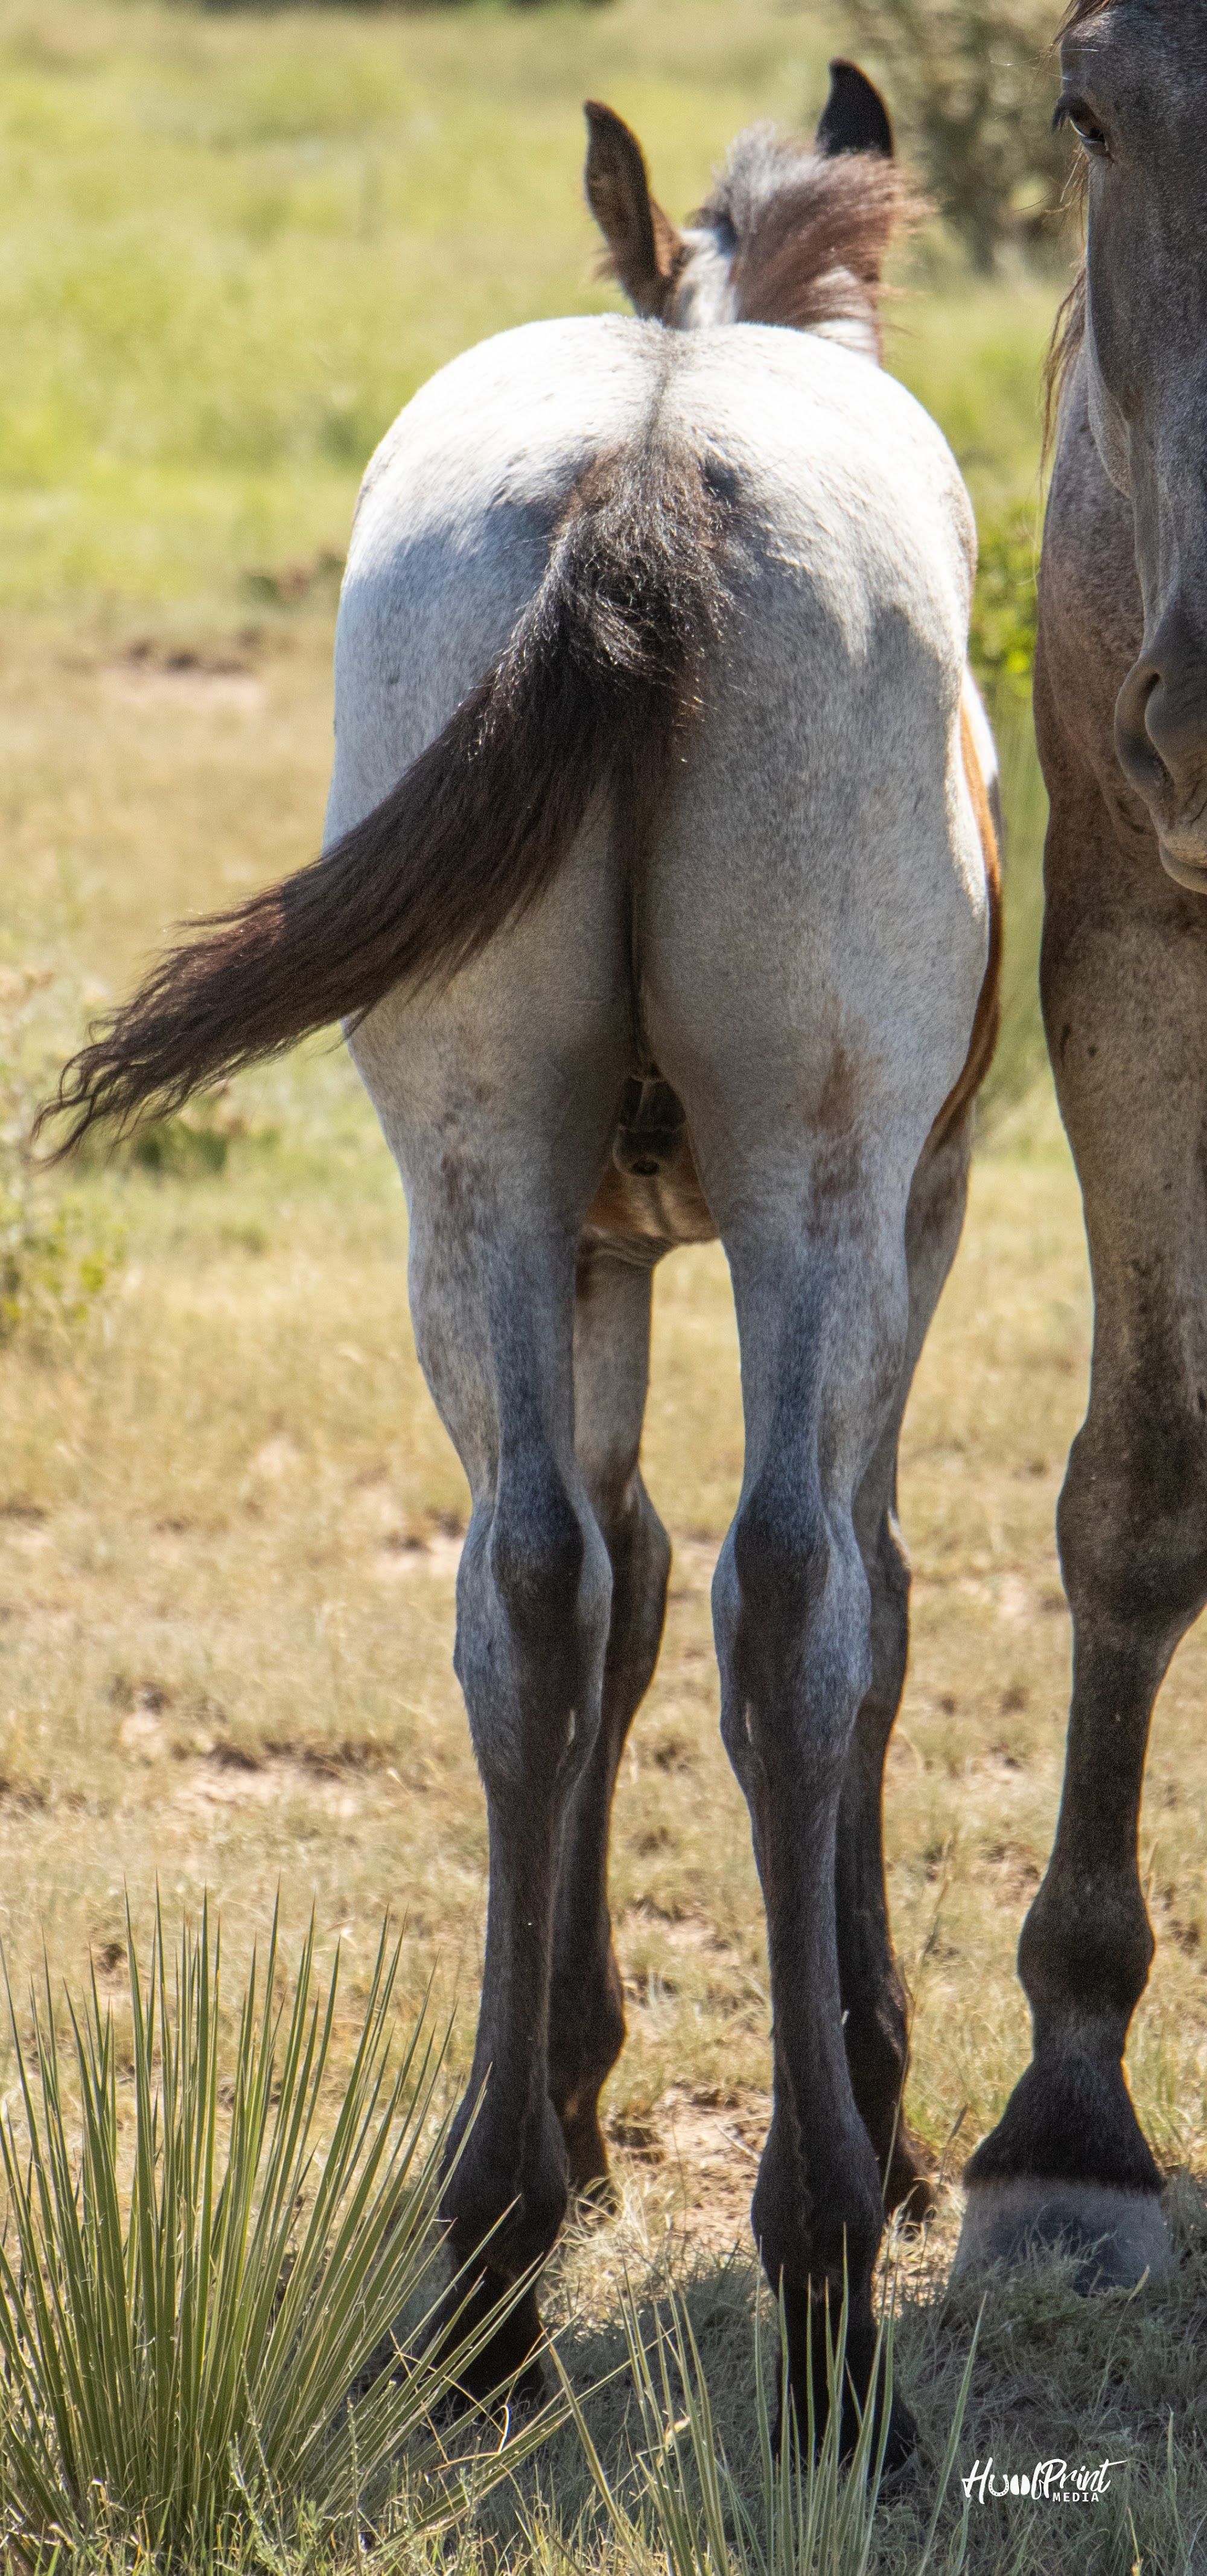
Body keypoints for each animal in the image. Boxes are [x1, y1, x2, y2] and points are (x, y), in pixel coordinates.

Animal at [41, 65, 999, 2453]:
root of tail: (648, 458)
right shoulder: (905, 1216)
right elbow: (847, 1589)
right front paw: (861, 2076)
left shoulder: (588, 1250)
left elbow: (612, 1578)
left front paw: (559, 2091)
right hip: (819, 1183)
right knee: (795, 1595)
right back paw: (822, 2271)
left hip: (470, 1174)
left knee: (529, 1586)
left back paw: (486, 2257)